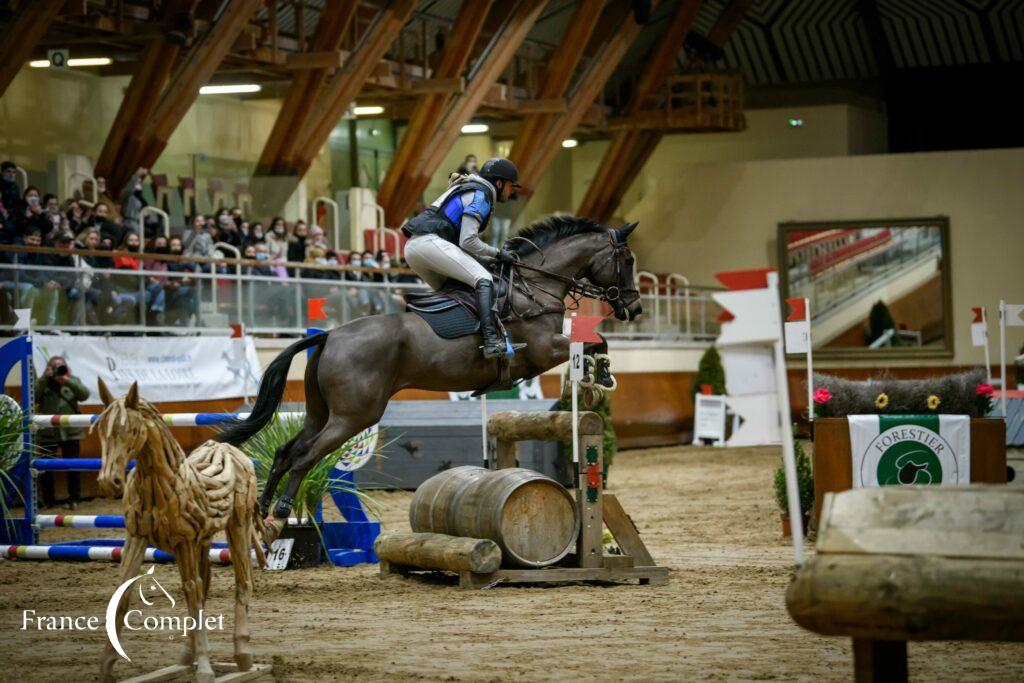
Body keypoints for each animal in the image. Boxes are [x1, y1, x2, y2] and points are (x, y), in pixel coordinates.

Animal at [96, 378, 266, 683]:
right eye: (102, 427)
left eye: (131, 429)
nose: (108, 481)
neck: (161, 483)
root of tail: (228, 449)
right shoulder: (137, 537)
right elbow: (123, 592)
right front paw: (106, 666)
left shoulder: (183, 541)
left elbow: (192, 593)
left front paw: (206, 669)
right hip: (204, 539)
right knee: (206, 583)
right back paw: (187, 658)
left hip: (238, 524)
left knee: (242, 581)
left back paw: (243, 657)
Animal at [216, 215, 638, 540]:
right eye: (628, 260)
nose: (634, 308)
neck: (532, 287)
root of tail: (330, 335)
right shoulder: (542, 349)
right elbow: (594, 342)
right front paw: (600, 380)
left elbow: (591, 343)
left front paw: (593, 382)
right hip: (354, 416)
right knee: (304, 456)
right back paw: (282, 509)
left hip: (320, 413)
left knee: (286, 451)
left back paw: (262, 508)